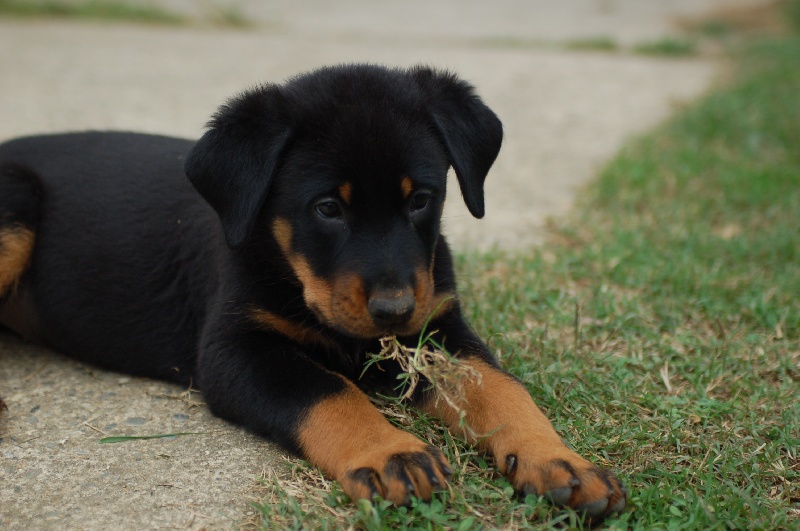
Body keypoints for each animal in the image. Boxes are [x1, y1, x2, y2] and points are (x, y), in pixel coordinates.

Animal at [0, 64, 624, 520]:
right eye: (327, 208)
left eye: (420, 199)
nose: (394, 310)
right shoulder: (234, 351)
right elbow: (326, 390)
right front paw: (391, 453)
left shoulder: (436, 330)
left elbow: (502, 389)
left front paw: (561, 462)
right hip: (16, 207)